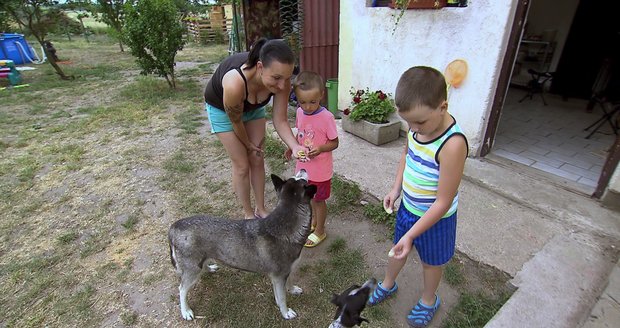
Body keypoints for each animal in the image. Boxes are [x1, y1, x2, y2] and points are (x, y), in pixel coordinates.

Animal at [168, 169, 318, 320]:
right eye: (302, 180)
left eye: (297, 177)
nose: (303, 169)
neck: (284, 225)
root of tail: (175, 226)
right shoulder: (278, 277)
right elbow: (281, 298)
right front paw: (286, 312)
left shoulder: (287, 271)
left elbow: (290, 282)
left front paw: (292, 290)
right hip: (192, 270)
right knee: (182, 290)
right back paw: (185, 311)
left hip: (199, 263)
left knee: (201, 267)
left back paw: (209, 268)